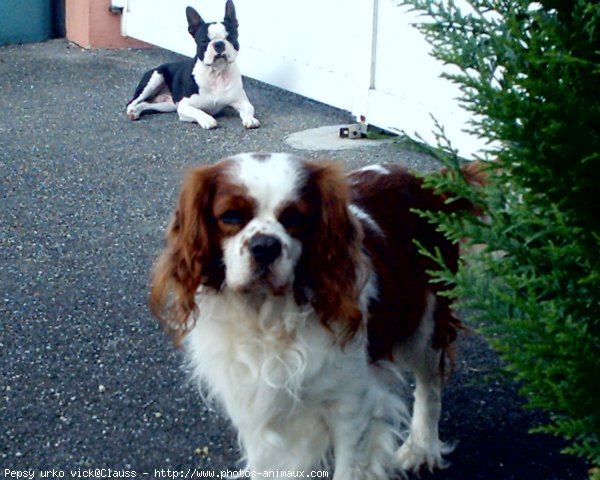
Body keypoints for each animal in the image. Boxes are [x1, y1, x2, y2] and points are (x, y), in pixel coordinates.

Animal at [125, 0, 258, 129]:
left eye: (231, 38)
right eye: (204, 41)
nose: (219, 43)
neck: (216, 73)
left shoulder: (241, 101)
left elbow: (248, 109)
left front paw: (250, 119)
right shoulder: (184, 106)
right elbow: (198, 111)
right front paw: (207, 119)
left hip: (168, 105)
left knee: (146, 104)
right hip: (155, 78)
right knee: (132, 103)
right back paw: (132, 111)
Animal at [150, 153, 474, 476]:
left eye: (295, 218)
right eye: (230, 216)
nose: (265, 246)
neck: (267, 320)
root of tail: (425, 181)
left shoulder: (352, 408)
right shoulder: (253, 409)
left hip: (425, 325)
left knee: (430, 386)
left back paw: (421, 447)